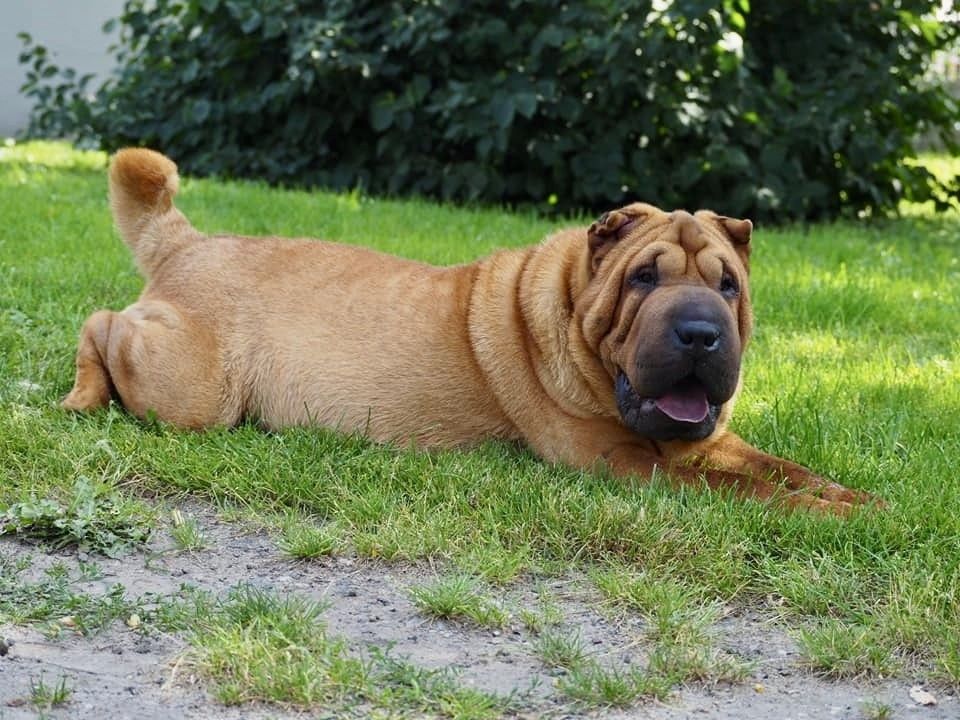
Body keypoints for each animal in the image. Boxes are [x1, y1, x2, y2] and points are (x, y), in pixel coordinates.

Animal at [63, 148, 875, 514]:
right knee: (101, 322)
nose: (702, 333)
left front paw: (862, 502)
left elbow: (785, 469)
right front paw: (825, 515)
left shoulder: (711, 441)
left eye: (727, 285)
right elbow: (750, 492)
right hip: (195, 390)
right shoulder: (619, 461)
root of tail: (188, 243)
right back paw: (81, 396)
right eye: (644, 279)